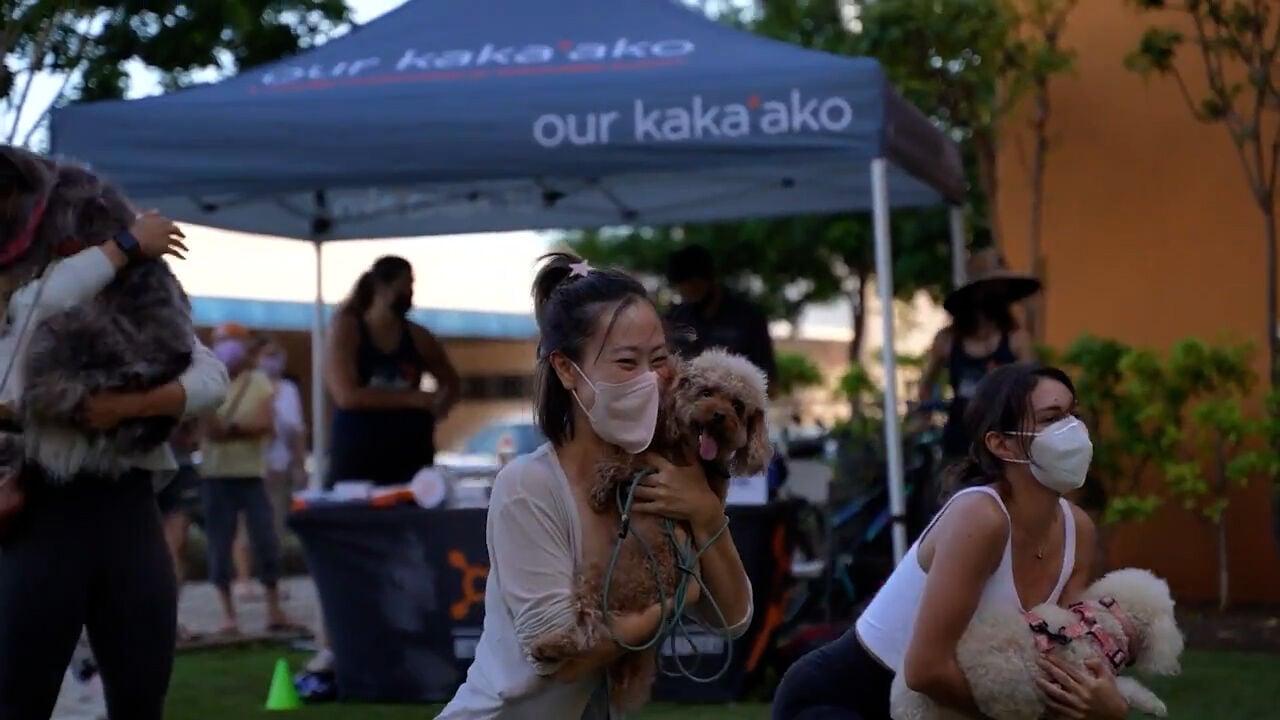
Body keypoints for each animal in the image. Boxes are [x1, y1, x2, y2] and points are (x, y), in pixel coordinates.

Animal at [527, 348, 768, 712]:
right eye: (706, 392)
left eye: (738, 406)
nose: (719, 416)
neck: (689, 452)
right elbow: (631, 458)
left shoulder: (658, 468)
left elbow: (627, 462)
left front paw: (601, 486)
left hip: (596, 580)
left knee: (589, 630)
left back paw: (550, 646)